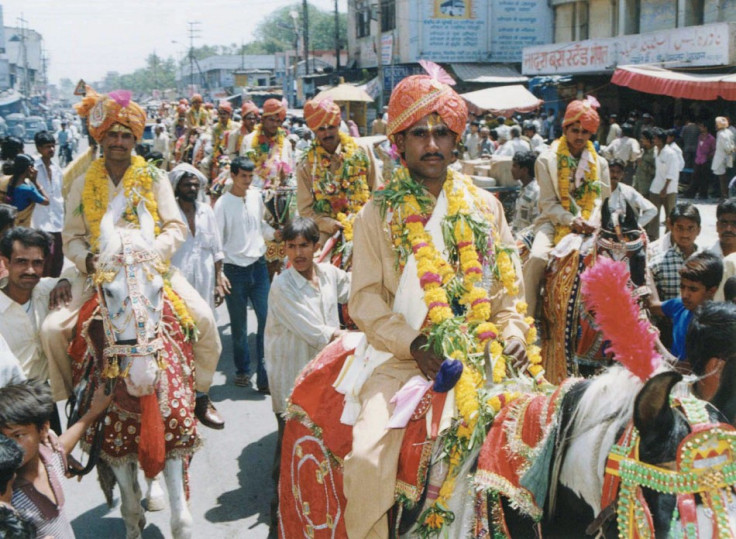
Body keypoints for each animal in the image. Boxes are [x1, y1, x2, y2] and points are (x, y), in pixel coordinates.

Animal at [68, 200, 198, 536]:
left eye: (158, 289)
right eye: (109, 292)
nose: (143, 379)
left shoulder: (175, 443)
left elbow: (181, 521)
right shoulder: (114, 450)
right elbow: (128, 508)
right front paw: (135, 520)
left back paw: (153, 494)